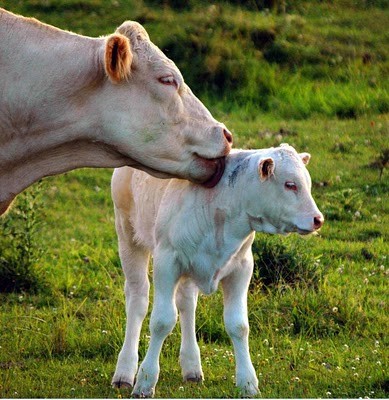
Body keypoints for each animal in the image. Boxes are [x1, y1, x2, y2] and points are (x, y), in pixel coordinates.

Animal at [110, 145, 322, 396]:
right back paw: (125, 371)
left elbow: (238, 325)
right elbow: (162, 321)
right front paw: (145, 380)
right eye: (290, 184)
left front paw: (248, 383)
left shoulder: (241, 268)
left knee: (186, 302)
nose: (318, 219)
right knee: (138, 300)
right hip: (128, 236)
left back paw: (192, 366)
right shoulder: (167, 262)